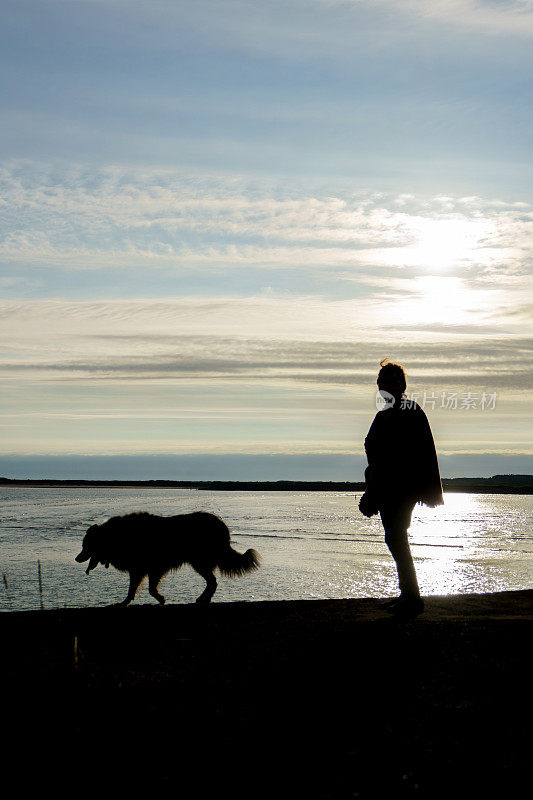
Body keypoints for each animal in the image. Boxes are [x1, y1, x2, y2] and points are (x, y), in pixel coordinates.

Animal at [75, 512, 260, 608]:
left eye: (85, 545)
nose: (77, 558)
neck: (113, 537)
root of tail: (222, 527)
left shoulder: (150, 567)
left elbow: (144, 588)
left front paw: (158, 599)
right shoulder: (144, 569)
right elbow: (138, 588)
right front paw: (127, 602)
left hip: (199, 561)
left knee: (212, 582)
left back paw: (203, 599)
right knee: (212, 582)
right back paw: (204, 599)